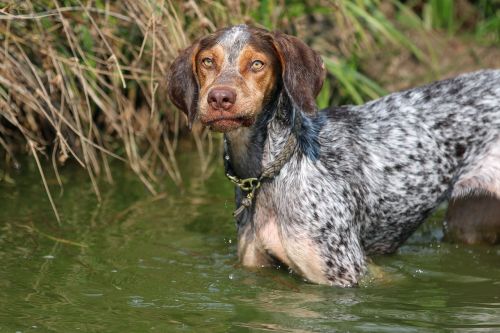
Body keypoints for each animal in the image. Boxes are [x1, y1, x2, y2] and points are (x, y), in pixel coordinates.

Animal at [168, 25, 500, 286]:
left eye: (257, 64)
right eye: (207, 61)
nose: (220, 98)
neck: (272, 169)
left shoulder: (347, 274)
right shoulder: (257, 266)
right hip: (469, 222)